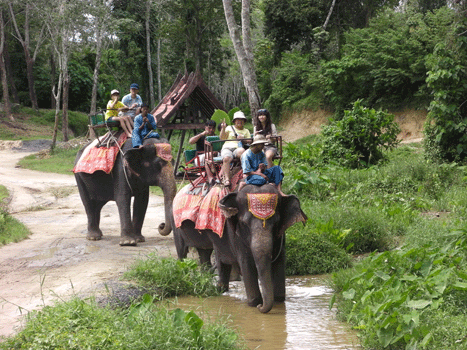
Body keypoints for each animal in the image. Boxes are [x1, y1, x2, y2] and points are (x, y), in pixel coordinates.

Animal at [174, 182, 308, 314]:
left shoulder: (281, 237)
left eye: (276, 224)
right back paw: (219, 289)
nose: (261, 307)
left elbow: (279, 263)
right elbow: (246, 264)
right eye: (244, 224)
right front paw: (255, 303)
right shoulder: (235, 234)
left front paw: (278, 301)